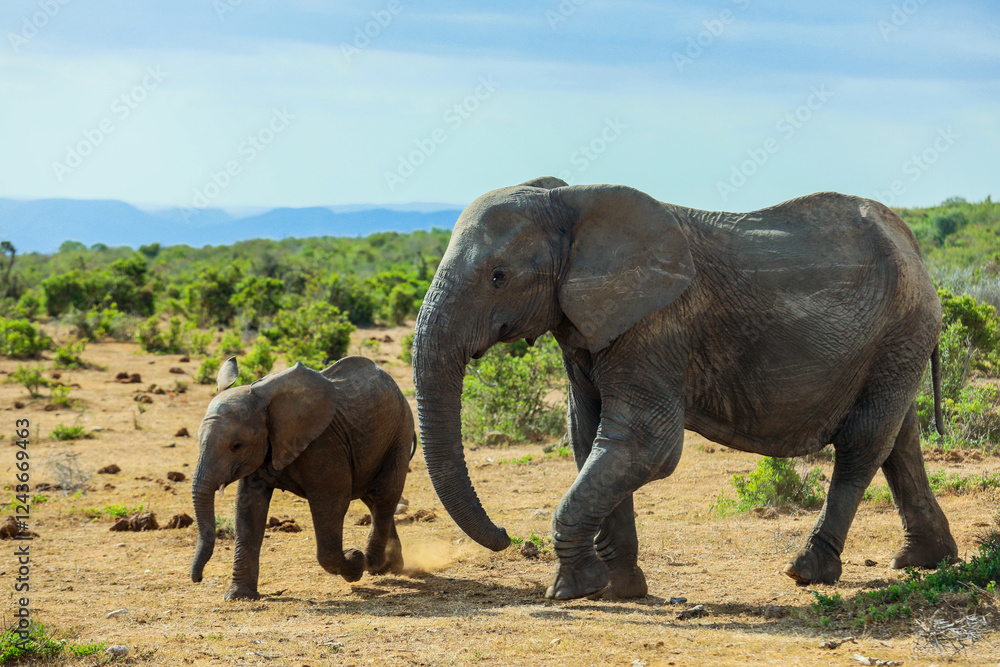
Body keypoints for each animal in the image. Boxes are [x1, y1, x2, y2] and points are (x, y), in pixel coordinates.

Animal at [190, 355, 415, 600]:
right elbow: (248, 508)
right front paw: (238, 596)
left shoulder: (323, 445)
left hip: (399, 434)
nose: (197, 579)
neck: (267, 404)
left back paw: (372, 563)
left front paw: (355, 560)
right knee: (374, 500)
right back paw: (388, 567)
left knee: (384, 496)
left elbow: (332, 504)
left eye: (236, 446)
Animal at [412, 176, 957, 601]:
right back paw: (925, 561)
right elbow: (591, 439)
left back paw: (807, 572)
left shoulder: (655, 325)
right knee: (900, 439)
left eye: (499, 277)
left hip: (901, 329)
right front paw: (621, 591)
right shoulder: (587, 327)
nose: (505, 536)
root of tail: (914, 246)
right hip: (897, 346)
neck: (570, 202)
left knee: (863, 444)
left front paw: (572, 590)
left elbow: (643, 445)